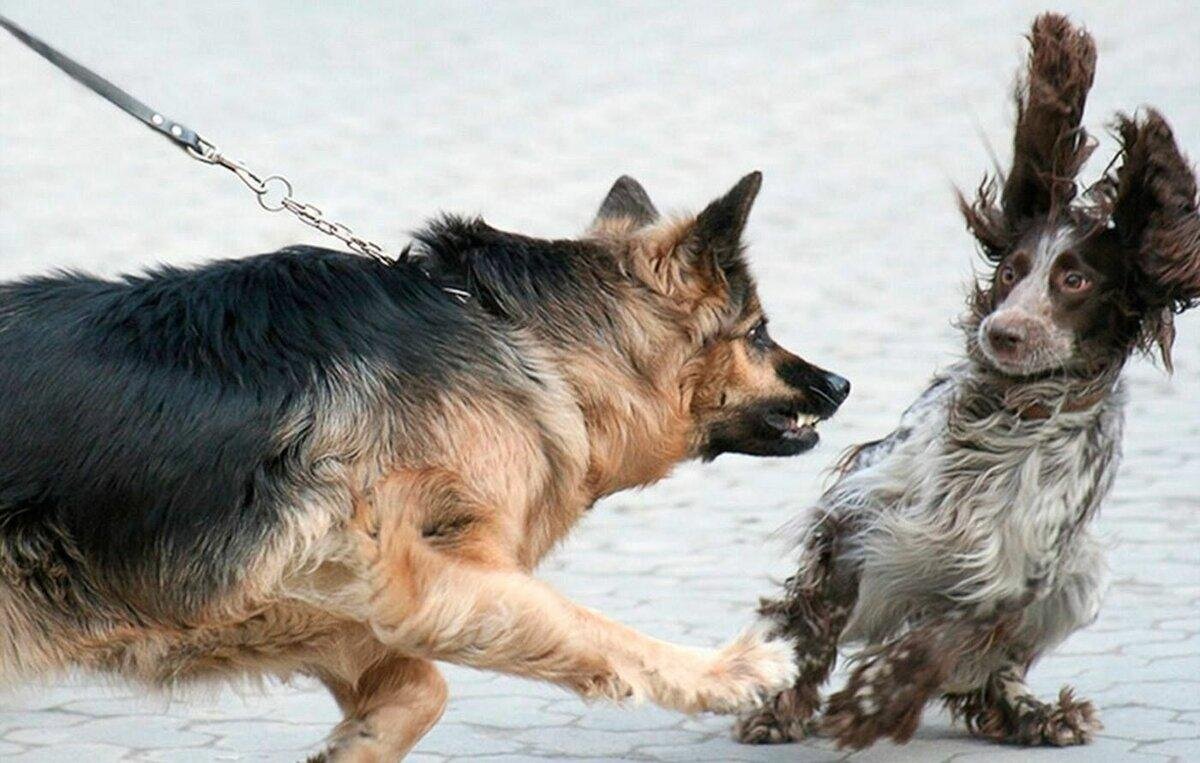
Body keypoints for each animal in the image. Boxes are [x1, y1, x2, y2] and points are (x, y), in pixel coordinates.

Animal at [0, 171, 849, 758]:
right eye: (759, 330)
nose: (841, 384)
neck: (519, 334)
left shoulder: (339, 596)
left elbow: (423, 688)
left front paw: (358, 742)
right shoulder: (416, 577)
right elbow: (598, 633)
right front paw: (729, 671)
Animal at [734, 13, 1195, 753]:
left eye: (1075, 280)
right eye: (1009, 270)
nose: (1003, 332)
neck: (1010, 414)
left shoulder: (1024, 568)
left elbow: (951, 637)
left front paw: (875, 697)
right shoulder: (861, 508)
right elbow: (815, 616)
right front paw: (781, 701)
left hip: (1080, 576)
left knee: (989, 670)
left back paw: (1033, 713)